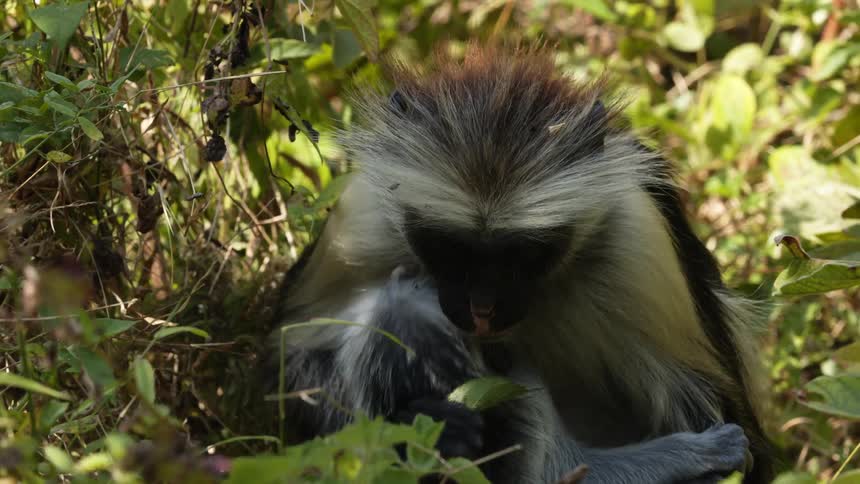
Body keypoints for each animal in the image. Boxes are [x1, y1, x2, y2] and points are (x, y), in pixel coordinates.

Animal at [266, 45, 774, 483]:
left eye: (523, 254)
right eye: (449, 248)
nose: (482, 310)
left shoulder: (639, 247)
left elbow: (728, 426)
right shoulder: (363, 217)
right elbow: (289, 362)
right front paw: (423, 426)